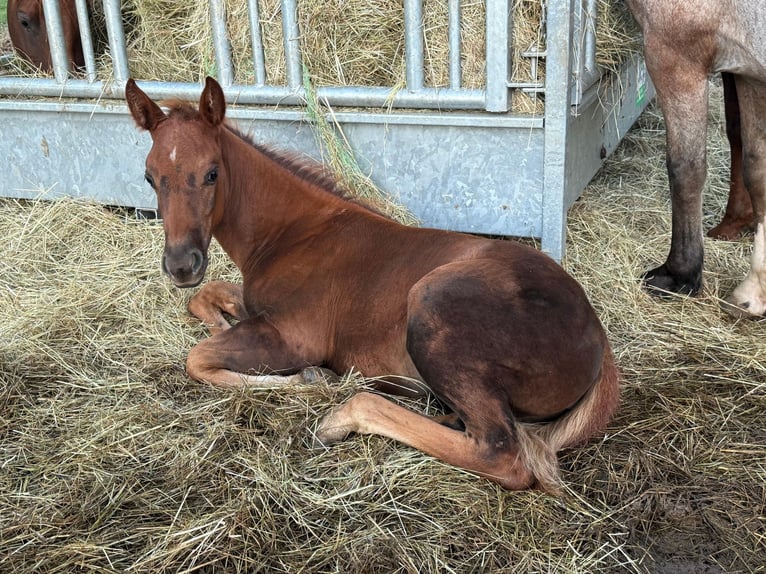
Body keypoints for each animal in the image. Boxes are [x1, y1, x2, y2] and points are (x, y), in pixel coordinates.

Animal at [125, 76, 621, 492]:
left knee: (501, 452)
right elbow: (207, 298)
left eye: (212, 172)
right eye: (149, 176)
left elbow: (198, 359)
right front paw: (219, 318)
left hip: (431, 305)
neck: (293, 232)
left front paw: (312, 378)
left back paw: (343, 416)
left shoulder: (294, 336)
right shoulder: (254, 305)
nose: (182, 265)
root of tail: (598, 335)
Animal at [626, 0, 766, 317]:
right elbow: (757, 172)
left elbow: (685, 170)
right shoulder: (750, 75)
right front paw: (754, 292)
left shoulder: (674, 56)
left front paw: (680, 274)